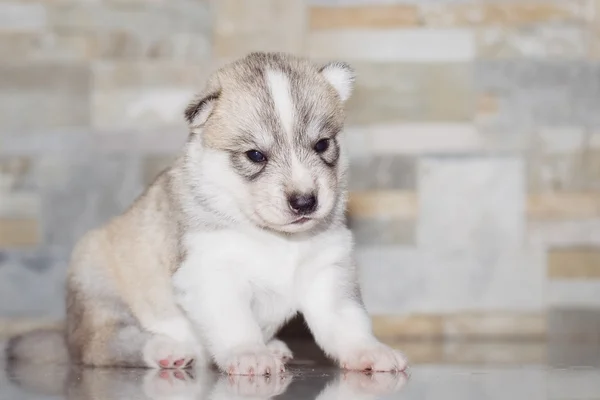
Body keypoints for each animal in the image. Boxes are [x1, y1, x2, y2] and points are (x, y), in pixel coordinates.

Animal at [5, 52, 408, 376]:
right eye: (255, 156)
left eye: (322, 145)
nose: (305, 202)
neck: (276, 238)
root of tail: (66, 336)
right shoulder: (210, 273)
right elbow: (235, 322)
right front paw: (249, 353)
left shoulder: (327, 270)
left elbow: (348, 323)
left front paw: (369, 351)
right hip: (100, 291)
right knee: (106, 345)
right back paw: (167, 349)